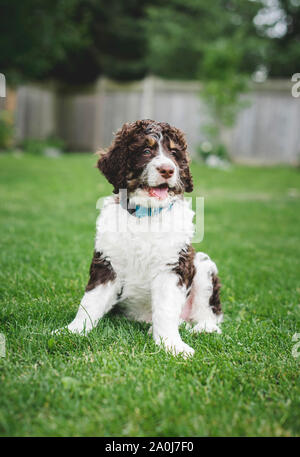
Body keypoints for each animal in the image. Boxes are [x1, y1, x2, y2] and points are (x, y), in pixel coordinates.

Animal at [57, 120, 224, 356]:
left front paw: (171, 345)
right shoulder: (107, 262)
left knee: (209, 315)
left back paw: (203, 328)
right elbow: (90, 301)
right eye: (146, 151)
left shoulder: (173, 266)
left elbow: (165, 309)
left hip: (203, 265)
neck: (146, 215)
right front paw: (72, 331)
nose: (168, 169)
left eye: (174, 153)